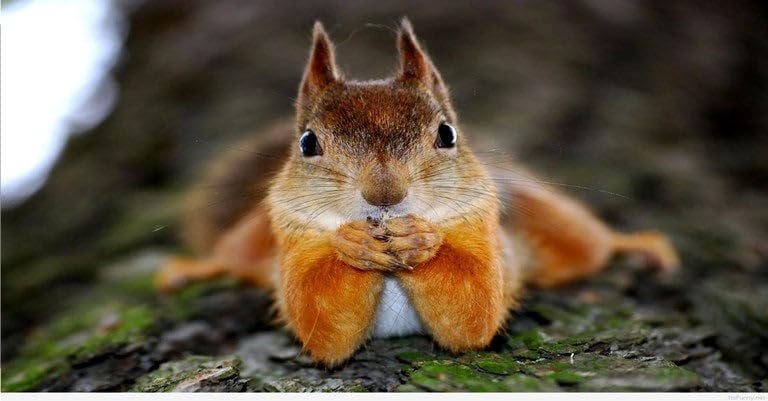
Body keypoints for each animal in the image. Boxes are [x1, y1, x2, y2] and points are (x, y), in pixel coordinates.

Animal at [156, 18, 680, 366]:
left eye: (447, 134)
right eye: (307, 143)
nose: (384, 194)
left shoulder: (485, 234)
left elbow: (474, 308)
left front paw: (423, 241)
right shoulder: (293, 240)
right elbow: (320, 321)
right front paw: (352, 244)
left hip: (550, 222)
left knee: (590, 244)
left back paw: (638, 244)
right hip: (252, 240)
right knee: (232, 256)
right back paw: (193, 269)